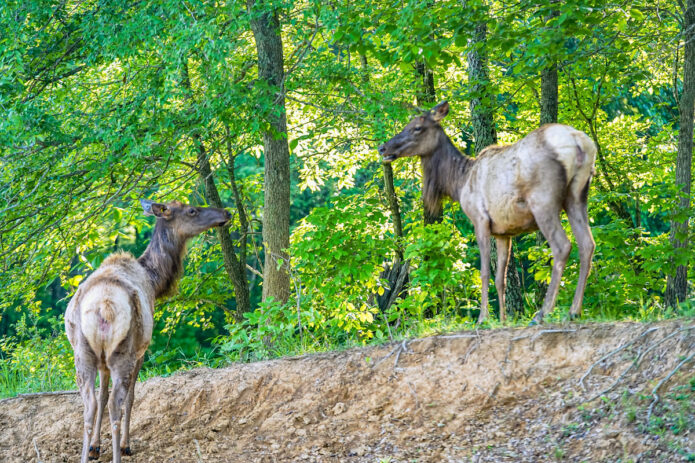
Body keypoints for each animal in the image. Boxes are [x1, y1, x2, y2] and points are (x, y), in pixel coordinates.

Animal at [64, 199, 231, 463]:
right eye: (192, 210)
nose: (226, 212)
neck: (155, 282)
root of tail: (103, 305)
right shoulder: (142, 351)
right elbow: (131, 397)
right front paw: (125, 445)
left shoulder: (102, 362)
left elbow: (101, 396)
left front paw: (94, 447)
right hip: (124, 350)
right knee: (116, 403)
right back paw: (119, 454)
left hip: (83, 352)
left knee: (90, 404)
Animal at [378, 101, 596, 325]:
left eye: (417, 127)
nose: (383, 147)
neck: (459, 183)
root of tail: (580, 142)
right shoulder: (504, 232)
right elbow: (501, 278)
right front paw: (503, 320)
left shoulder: (479, 219)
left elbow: (484, 272)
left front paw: (483, 318)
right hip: (577, 196)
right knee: (587, 244)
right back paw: (574, 311)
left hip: (543, 200)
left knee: (562, 246)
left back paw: (542, 313)